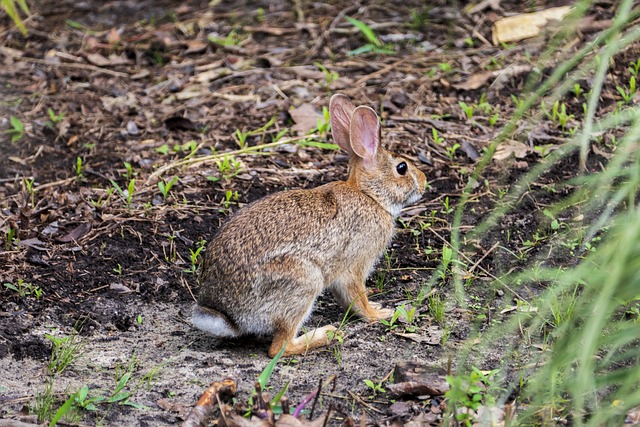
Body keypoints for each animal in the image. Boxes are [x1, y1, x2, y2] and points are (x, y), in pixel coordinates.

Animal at [192, 93, 428, 358]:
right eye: (402, 168)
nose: (424, 182)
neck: (369, 196)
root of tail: (229, 317)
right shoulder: (354, 265)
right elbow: (358, 298)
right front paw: (379, 314)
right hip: (304, 279)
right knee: (279, 348)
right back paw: (325, 335)